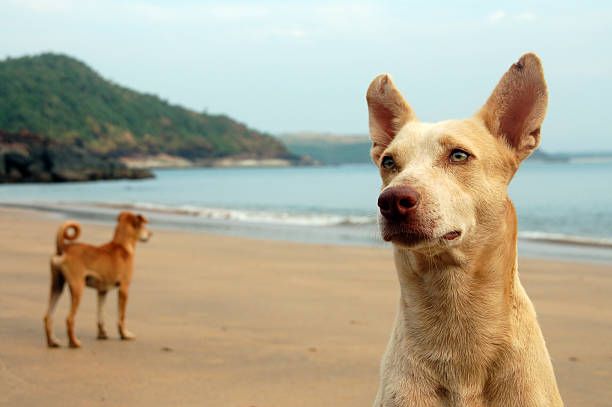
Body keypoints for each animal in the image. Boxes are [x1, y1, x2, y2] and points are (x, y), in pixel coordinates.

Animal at [43, 212, 152, 350]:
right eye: (143, 225)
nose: (151, 233)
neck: (122, 245)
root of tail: (64, 247)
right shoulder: (124, 289)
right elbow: (121, 316)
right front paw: (124, 334)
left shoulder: (102, 291)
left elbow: (101, 316)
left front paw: (102, 334)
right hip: (78, 287)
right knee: (69, 319)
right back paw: (74, 343)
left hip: (57, 286)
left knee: (48, 316)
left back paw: (52, 342)